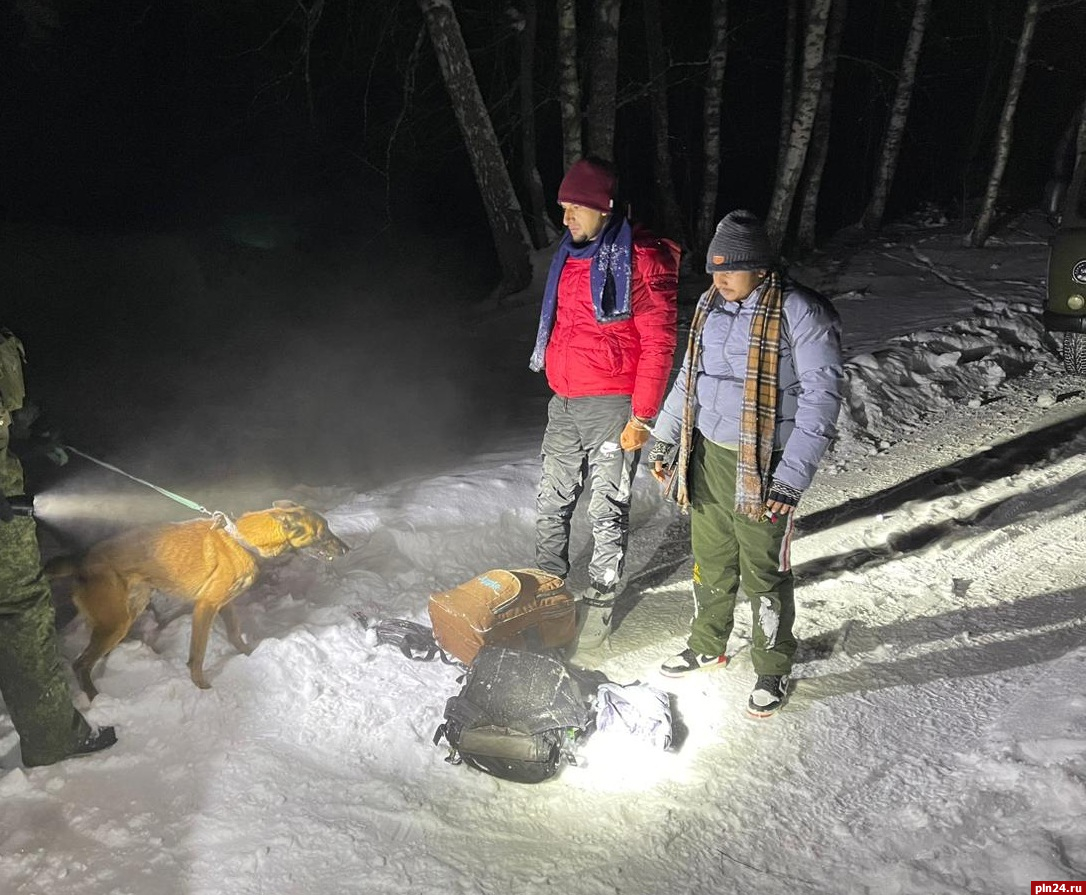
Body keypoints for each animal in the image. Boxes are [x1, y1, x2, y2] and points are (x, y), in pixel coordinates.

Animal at [47, 503, 347, 699]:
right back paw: (95, 697)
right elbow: (198, 654)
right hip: (116, 622)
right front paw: (201, 686)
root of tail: (81, 561)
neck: (241, 539)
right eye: (323, 532)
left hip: (129, 611)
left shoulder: (225, 605)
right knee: (80, 664)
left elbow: (235, 633)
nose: (347, 549)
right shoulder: (205, 607)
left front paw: (249, 654)